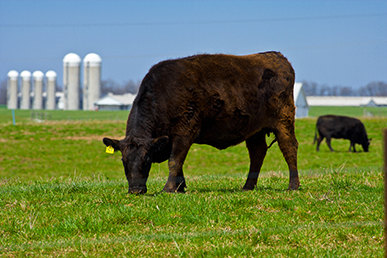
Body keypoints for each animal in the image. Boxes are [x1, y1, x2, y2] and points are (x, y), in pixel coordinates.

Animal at [103, 51, 300, 194]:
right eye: (123, 161)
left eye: (147, 160)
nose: (136, 190)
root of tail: (276, 56)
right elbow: (178, 163)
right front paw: (180, 188)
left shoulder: (185, 131)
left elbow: (175, 160)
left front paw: (169, 189)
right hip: (254, 130)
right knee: (257, 153)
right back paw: (247, 187)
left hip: (284, 119)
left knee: (289, 147)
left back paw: (293, 186)